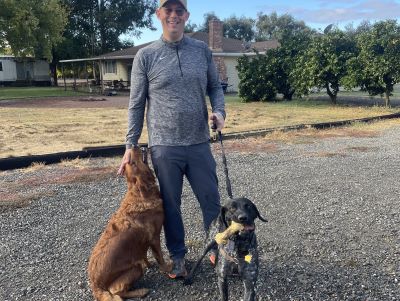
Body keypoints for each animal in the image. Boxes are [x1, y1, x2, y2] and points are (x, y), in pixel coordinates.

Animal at [87, 146, 170, 298]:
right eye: (133, 163)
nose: (134, 146)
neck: (139, 193)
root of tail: (95, 285)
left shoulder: (143, 243)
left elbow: (143, 255)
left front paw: (149, 264)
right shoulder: (155, 237)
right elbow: (159, 256)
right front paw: (167, 268)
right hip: (135, 269)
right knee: (117, 292)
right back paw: (141, 291)